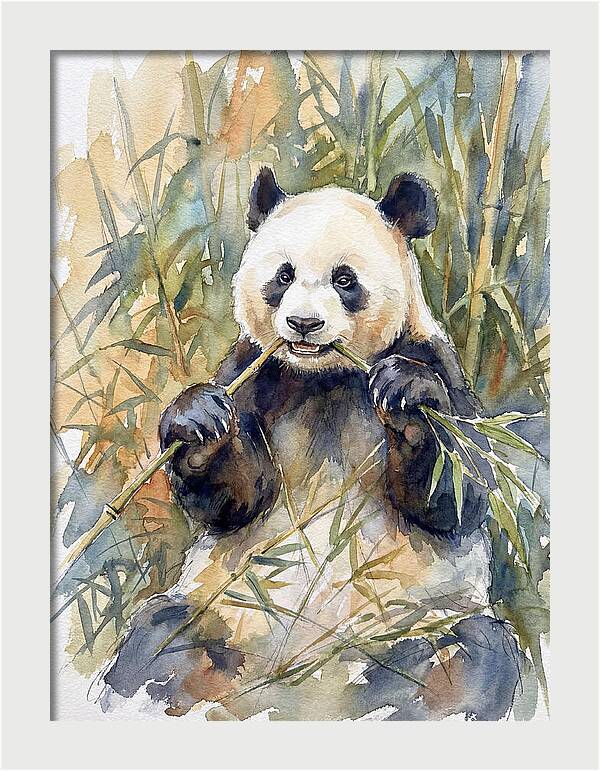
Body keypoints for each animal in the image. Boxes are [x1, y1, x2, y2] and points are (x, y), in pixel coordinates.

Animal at [102, 169, 524, 720]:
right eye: (283, 276)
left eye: (345, 280)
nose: (303, 324)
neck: (325, 378)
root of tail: (300, 682)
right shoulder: (255, 371)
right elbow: (238, 499)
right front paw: (197, 422)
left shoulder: (433, 358)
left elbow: (458, 492)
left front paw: (407, 397)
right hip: (223, 612)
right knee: (156, 642)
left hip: (416, 623)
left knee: (472, 658)